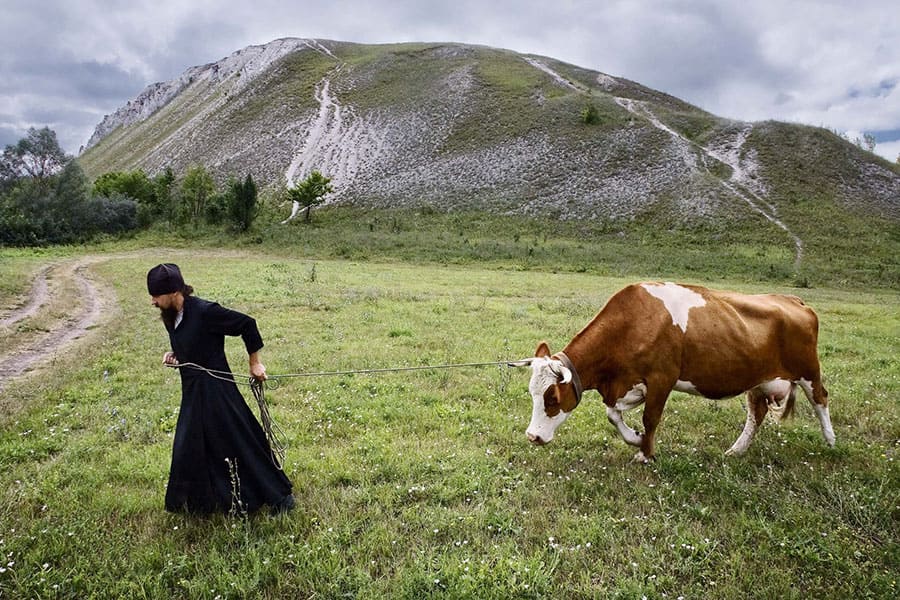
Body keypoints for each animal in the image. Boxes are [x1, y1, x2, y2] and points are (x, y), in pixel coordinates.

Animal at [520, 282, 836, 460]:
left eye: (551, 398)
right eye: (532, 394)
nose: (532, 437)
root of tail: (793, 300)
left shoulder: (662, 379)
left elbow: (650, 418)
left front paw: (645, 454)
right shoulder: (626, 384)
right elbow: (613, 415)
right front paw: (635, 438)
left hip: (808, 370)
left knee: (820, 399)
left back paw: (831, 441)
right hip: (758, 380)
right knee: (756, 415)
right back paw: (736, 451)